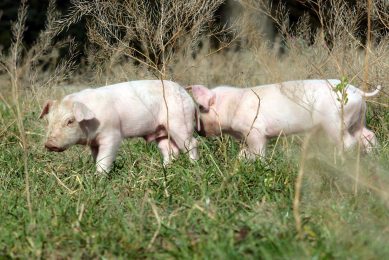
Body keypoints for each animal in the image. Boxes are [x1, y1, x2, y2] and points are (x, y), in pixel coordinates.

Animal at [39, 79, 199, 173]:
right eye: (49, 120)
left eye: (70, 121)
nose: (49, 144)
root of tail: (184, 92)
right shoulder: (94, 143)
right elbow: (96, 157)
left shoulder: (112, 134)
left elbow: (104, 158)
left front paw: (99, 176)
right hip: (162, 130)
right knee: (170, 150)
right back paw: (164, 168)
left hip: (180, 122)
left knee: (191, 143)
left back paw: (193, 165)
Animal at [189, 79, 380, 158]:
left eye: (201, 108)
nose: (198, 131)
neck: (233, 105)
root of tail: (358, 92)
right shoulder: (245, 136)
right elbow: (243, 152)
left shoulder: (255, 130)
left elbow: (258, 150)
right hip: (357, 120)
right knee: (368, 135)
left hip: (335, 122)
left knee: (349, 142)